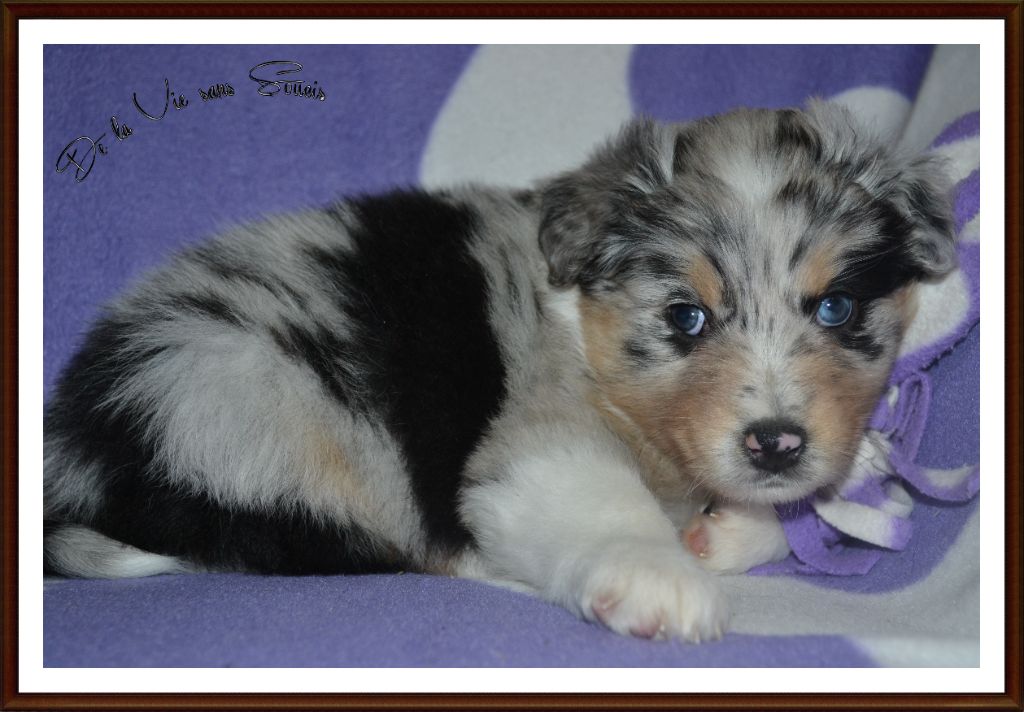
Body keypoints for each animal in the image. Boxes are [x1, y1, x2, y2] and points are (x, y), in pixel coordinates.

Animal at [43, 101, 955, 642]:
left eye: (835, 309)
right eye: (685, 318)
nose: (775, 443)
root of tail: (79, 437)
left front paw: (728, 529)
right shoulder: (539, 438)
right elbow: (597, 497)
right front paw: (661, 577)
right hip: (258, 396)